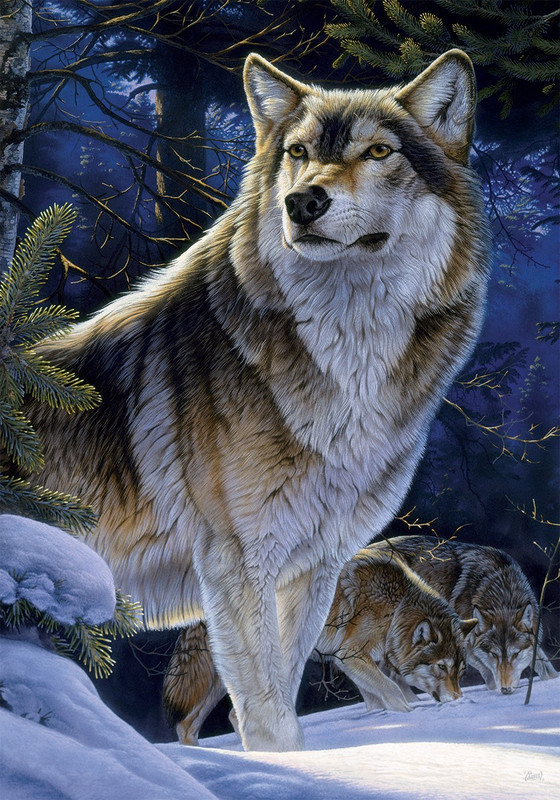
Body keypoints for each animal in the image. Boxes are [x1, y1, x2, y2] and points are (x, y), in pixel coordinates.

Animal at [164, 547, 477, 745]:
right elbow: (393, 692)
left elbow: (381, 697)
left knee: (187, 725)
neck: (395, 608)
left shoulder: (357, 663)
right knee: (230, 715)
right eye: (441, 666)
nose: (458, 699)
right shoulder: (351, 656)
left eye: (460, 671)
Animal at [374, 535, 558, 693]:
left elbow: (546, 666)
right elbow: (489, 675)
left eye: (516, 654)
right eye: (494, 654)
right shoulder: (466, 647)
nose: (506, 690)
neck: (503, 594)